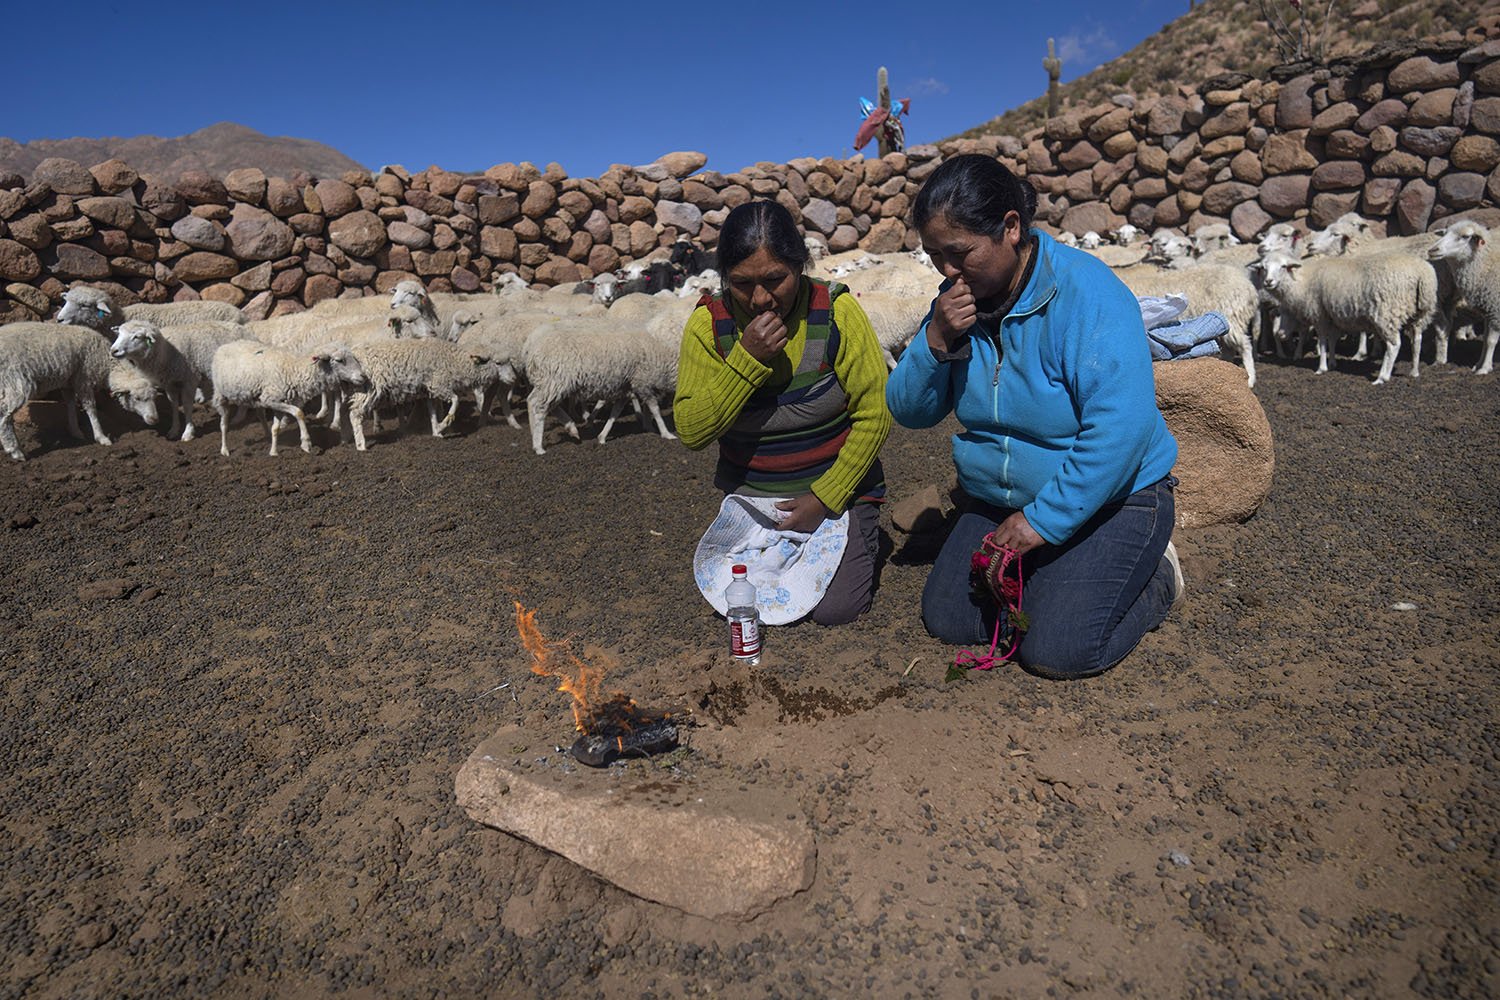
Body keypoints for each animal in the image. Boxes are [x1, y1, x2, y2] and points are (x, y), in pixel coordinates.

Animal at [0, 325, 115, 461]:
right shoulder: (84, 377)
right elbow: (91, 408)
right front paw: (101, 436)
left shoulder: (69, 382)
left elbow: (71, 404)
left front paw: (75, 431)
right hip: (16, 382)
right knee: (4, 415)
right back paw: (16, 451)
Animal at [211, 340, 369, 458]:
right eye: (339, 360)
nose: (363, 376)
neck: (294, 369)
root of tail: (225, 345)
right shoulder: (271, 400)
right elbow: (299, 413)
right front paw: (306, 443)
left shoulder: (278, 402)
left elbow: (276, 428)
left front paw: (273, 451)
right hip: (221, 394)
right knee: (223, 424)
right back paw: (224, 449)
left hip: (256, 398)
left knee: (260, 414)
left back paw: (266, 435)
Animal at [1428, 220, 1500, 374]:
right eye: (1444, 233)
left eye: (1465, 236)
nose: (1433, 250)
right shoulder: (1488, 310)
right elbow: (1485, 339)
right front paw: (1478, 365)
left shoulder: (1496, 309)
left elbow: (1490, 341)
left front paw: (1484, 368)